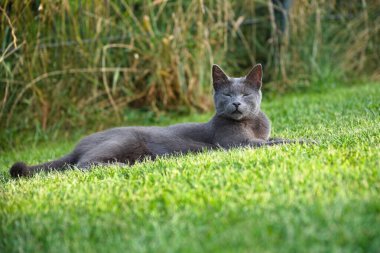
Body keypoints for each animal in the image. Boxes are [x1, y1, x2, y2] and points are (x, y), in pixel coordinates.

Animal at [9, 63, 302, 178]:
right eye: (228, 94)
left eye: (246, 94)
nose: (237, 104)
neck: (251, 123)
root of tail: (78, 144)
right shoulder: (240, 144)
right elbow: (278, 143)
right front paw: (310, 139)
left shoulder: (261, 138)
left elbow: (277, 138)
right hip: (122, 140)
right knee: (82, 165)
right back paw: (122, 167)